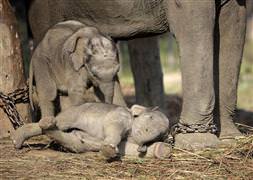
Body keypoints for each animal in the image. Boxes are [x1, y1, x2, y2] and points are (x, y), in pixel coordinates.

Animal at [11, 103, 170, 158]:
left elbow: (126, 148)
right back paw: (18, 138)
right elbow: (112, 126)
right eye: (150, 117)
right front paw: (108, 149)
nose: (146, 131)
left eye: (160, 134)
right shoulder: (119, 115)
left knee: (73, 141)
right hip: (73, 113)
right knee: (59, 123)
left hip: (76, 141)